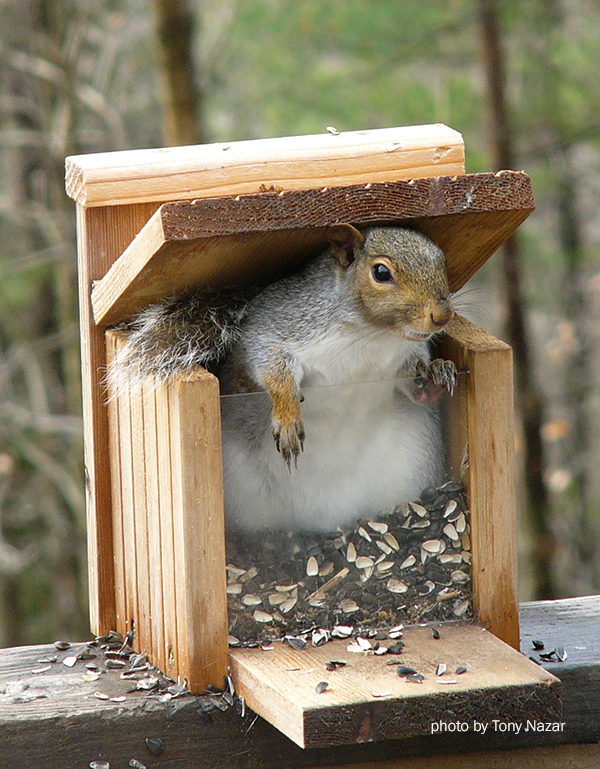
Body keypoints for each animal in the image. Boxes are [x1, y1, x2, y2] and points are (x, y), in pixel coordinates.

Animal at [109, 225, 454, 532]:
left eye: (442, 260)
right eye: (381, 272)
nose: (442, 316)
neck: (373, 335)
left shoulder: (401, 360)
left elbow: (410, 380)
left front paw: (436, 375)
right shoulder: (276, 329)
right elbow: (272, 369)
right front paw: (287, 416)